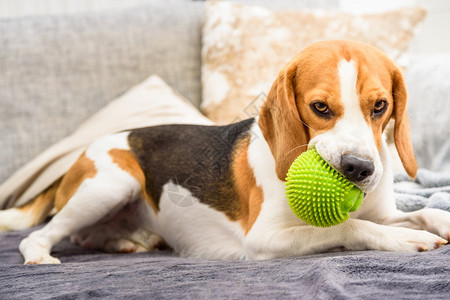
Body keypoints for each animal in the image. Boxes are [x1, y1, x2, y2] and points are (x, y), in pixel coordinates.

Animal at [0, 40, 450, 264]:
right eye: (320, 107)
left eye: (380, 106)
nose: (359, 169)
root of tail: (81, 154)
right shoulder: (264, 238)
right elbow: (349, 227)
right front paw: (405, 240)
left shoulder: (385, 212)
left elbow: (421, 212)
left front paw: (435, 223)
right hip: (113, 182)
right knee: (43, 235)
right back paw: (42, 257)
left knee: (83, 235)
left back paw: (132, 241)